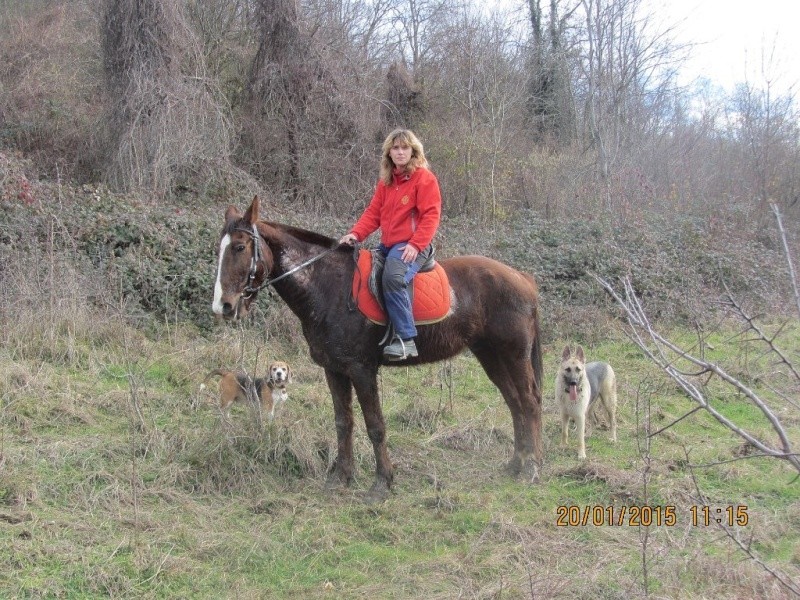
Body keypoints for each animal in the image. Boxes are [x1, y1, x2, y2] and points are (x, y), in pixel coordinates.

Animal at [211, 197, 544, 502]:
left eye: (239, 247)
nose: (223, 306)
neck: (329, 286)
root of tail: (523, 278)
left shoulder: (362, 370)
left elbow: (375, 426)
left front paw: (382, 482)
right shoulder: (334, 370)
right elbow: (343, 422)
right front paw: (341, 477)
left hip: (514, 354)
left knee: (529, 402)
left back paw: (532, 468)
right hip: (490, 354)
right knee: (514, 402)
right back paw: (516, 464)